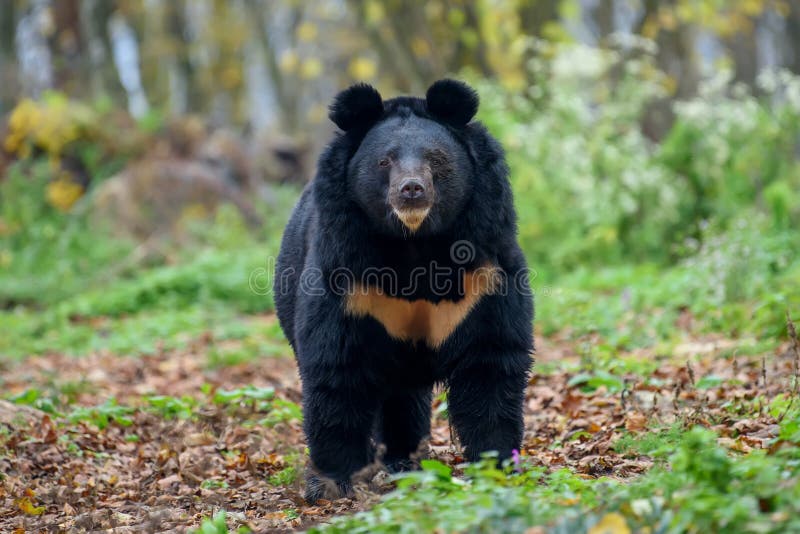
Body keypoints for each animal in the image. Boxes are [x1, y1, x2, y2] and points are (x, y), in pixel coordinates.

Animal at [274, 79, 532, 506]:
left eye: (436, 159)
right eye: (384, 162)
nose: (412, 190)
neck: (414, 243)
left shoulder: (484, 269)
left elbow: (490, 360)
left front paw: (496, 464)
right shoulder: (348, 275)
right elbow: (337, 367)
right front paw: (332, 483)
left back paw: (405, 460)